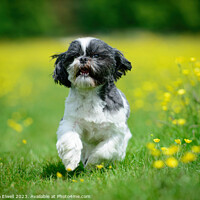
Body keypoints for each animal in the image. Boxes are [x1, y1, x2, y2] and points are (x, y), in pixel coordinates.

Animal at [52, 37, 132, 170]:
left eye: (96, 55)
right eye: (74, 56)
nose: (83, 59)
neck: (90, 94)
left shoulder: (116, 131)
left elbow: (104, 151)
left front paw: (92, 163)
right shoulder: (70, 121)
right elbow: (70, 140)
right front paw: (71, 161)